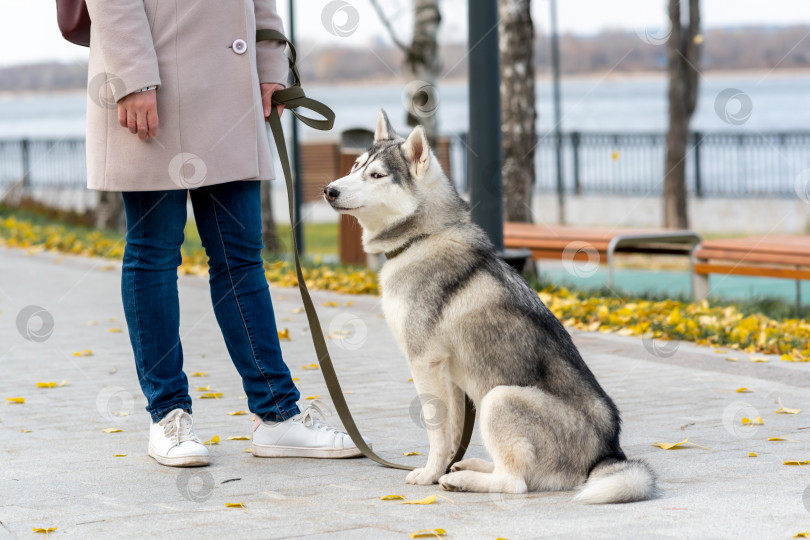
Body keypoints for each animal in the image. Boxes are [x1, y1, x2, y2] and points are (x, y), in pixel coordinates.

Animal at [322, 112, 656, 504]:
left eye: (376, 175)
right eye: (355, 166)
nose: (330, 189)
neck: (421, 238)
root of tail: (607, 453)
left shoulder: (424, 362)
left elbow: (436, 434)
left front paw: (429, 474)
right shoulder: (448, 375)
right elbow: (451, 434)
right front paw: (444, 465)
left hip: (499, 397)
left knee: (515, 482)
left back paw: (466, 480)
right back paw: (470, 466)